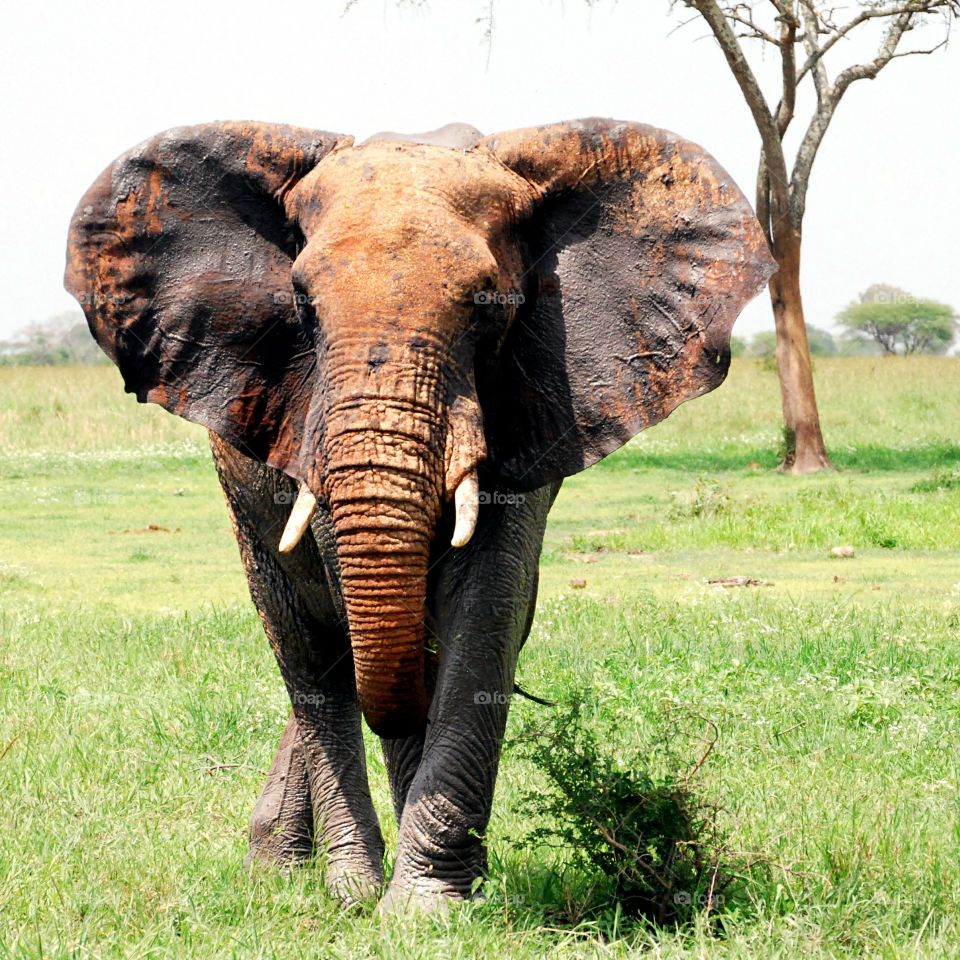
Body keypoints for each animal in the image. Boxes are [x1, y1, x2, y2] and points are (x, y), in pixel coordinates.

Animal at [65, 118, 775, 912]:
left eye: (489, 305)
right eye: (302, 307)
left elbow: (488, 605)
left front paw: (424, 907)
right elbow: (360, 615)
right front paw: (402, 901)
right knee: (307, 653)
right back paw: (327, 884)